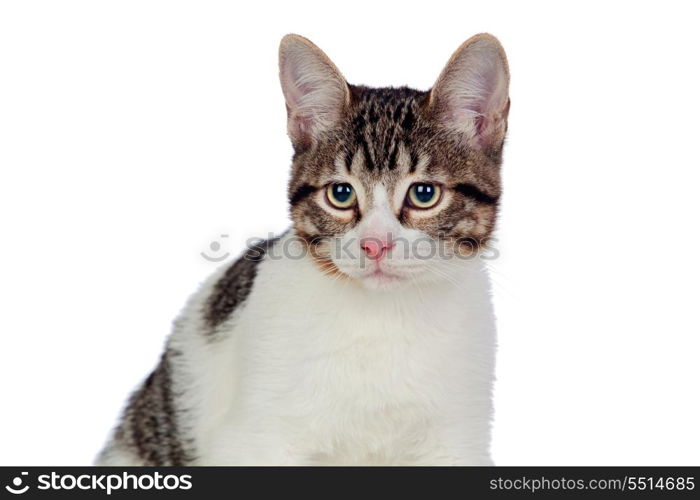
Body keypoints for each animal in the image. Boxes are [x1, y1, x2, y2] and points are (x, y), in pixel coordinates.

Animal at [95, 33, 508, 466]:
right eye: (341, 194)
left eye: (424, 193)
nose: (375, 244)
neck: (383, 320)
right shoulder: (254, 440)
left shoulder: (458, 439)